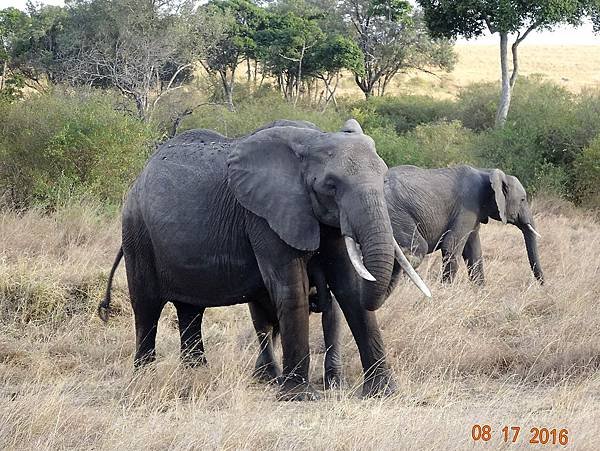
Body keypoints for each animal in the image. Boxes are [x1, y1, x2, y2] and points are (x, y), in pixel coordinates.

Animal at [99, 118, 426, 400]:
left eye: (383, 178)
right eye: (331, 186)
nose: (412, 252)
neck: (312, 140)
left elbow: (349, 289)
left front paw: (383, 392)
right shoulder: (262, 216)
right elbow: (291, 289)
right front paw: (299, 397)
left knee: (191, 309)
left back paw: (196, 373)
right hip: (137, 233)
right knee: (146, 306)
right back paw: (145, 375)